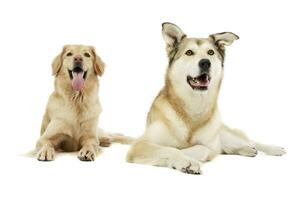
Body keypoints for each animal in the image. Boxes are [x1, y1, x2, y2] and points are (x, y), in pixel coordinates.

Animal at [35, 22, 286, 174]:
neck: (190, 109)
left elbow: (201, 148)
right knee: (239, 145)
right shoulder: (140, 146)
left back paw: (271, 148)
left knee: (248, 139)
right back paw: (248, 151)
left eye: (211, 53)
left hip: (226, 134)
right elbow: (171, 150)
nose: (205, 63)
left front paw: (189, 155)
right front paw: (185, 160)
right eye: (189, 53)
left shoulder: (208, 143)